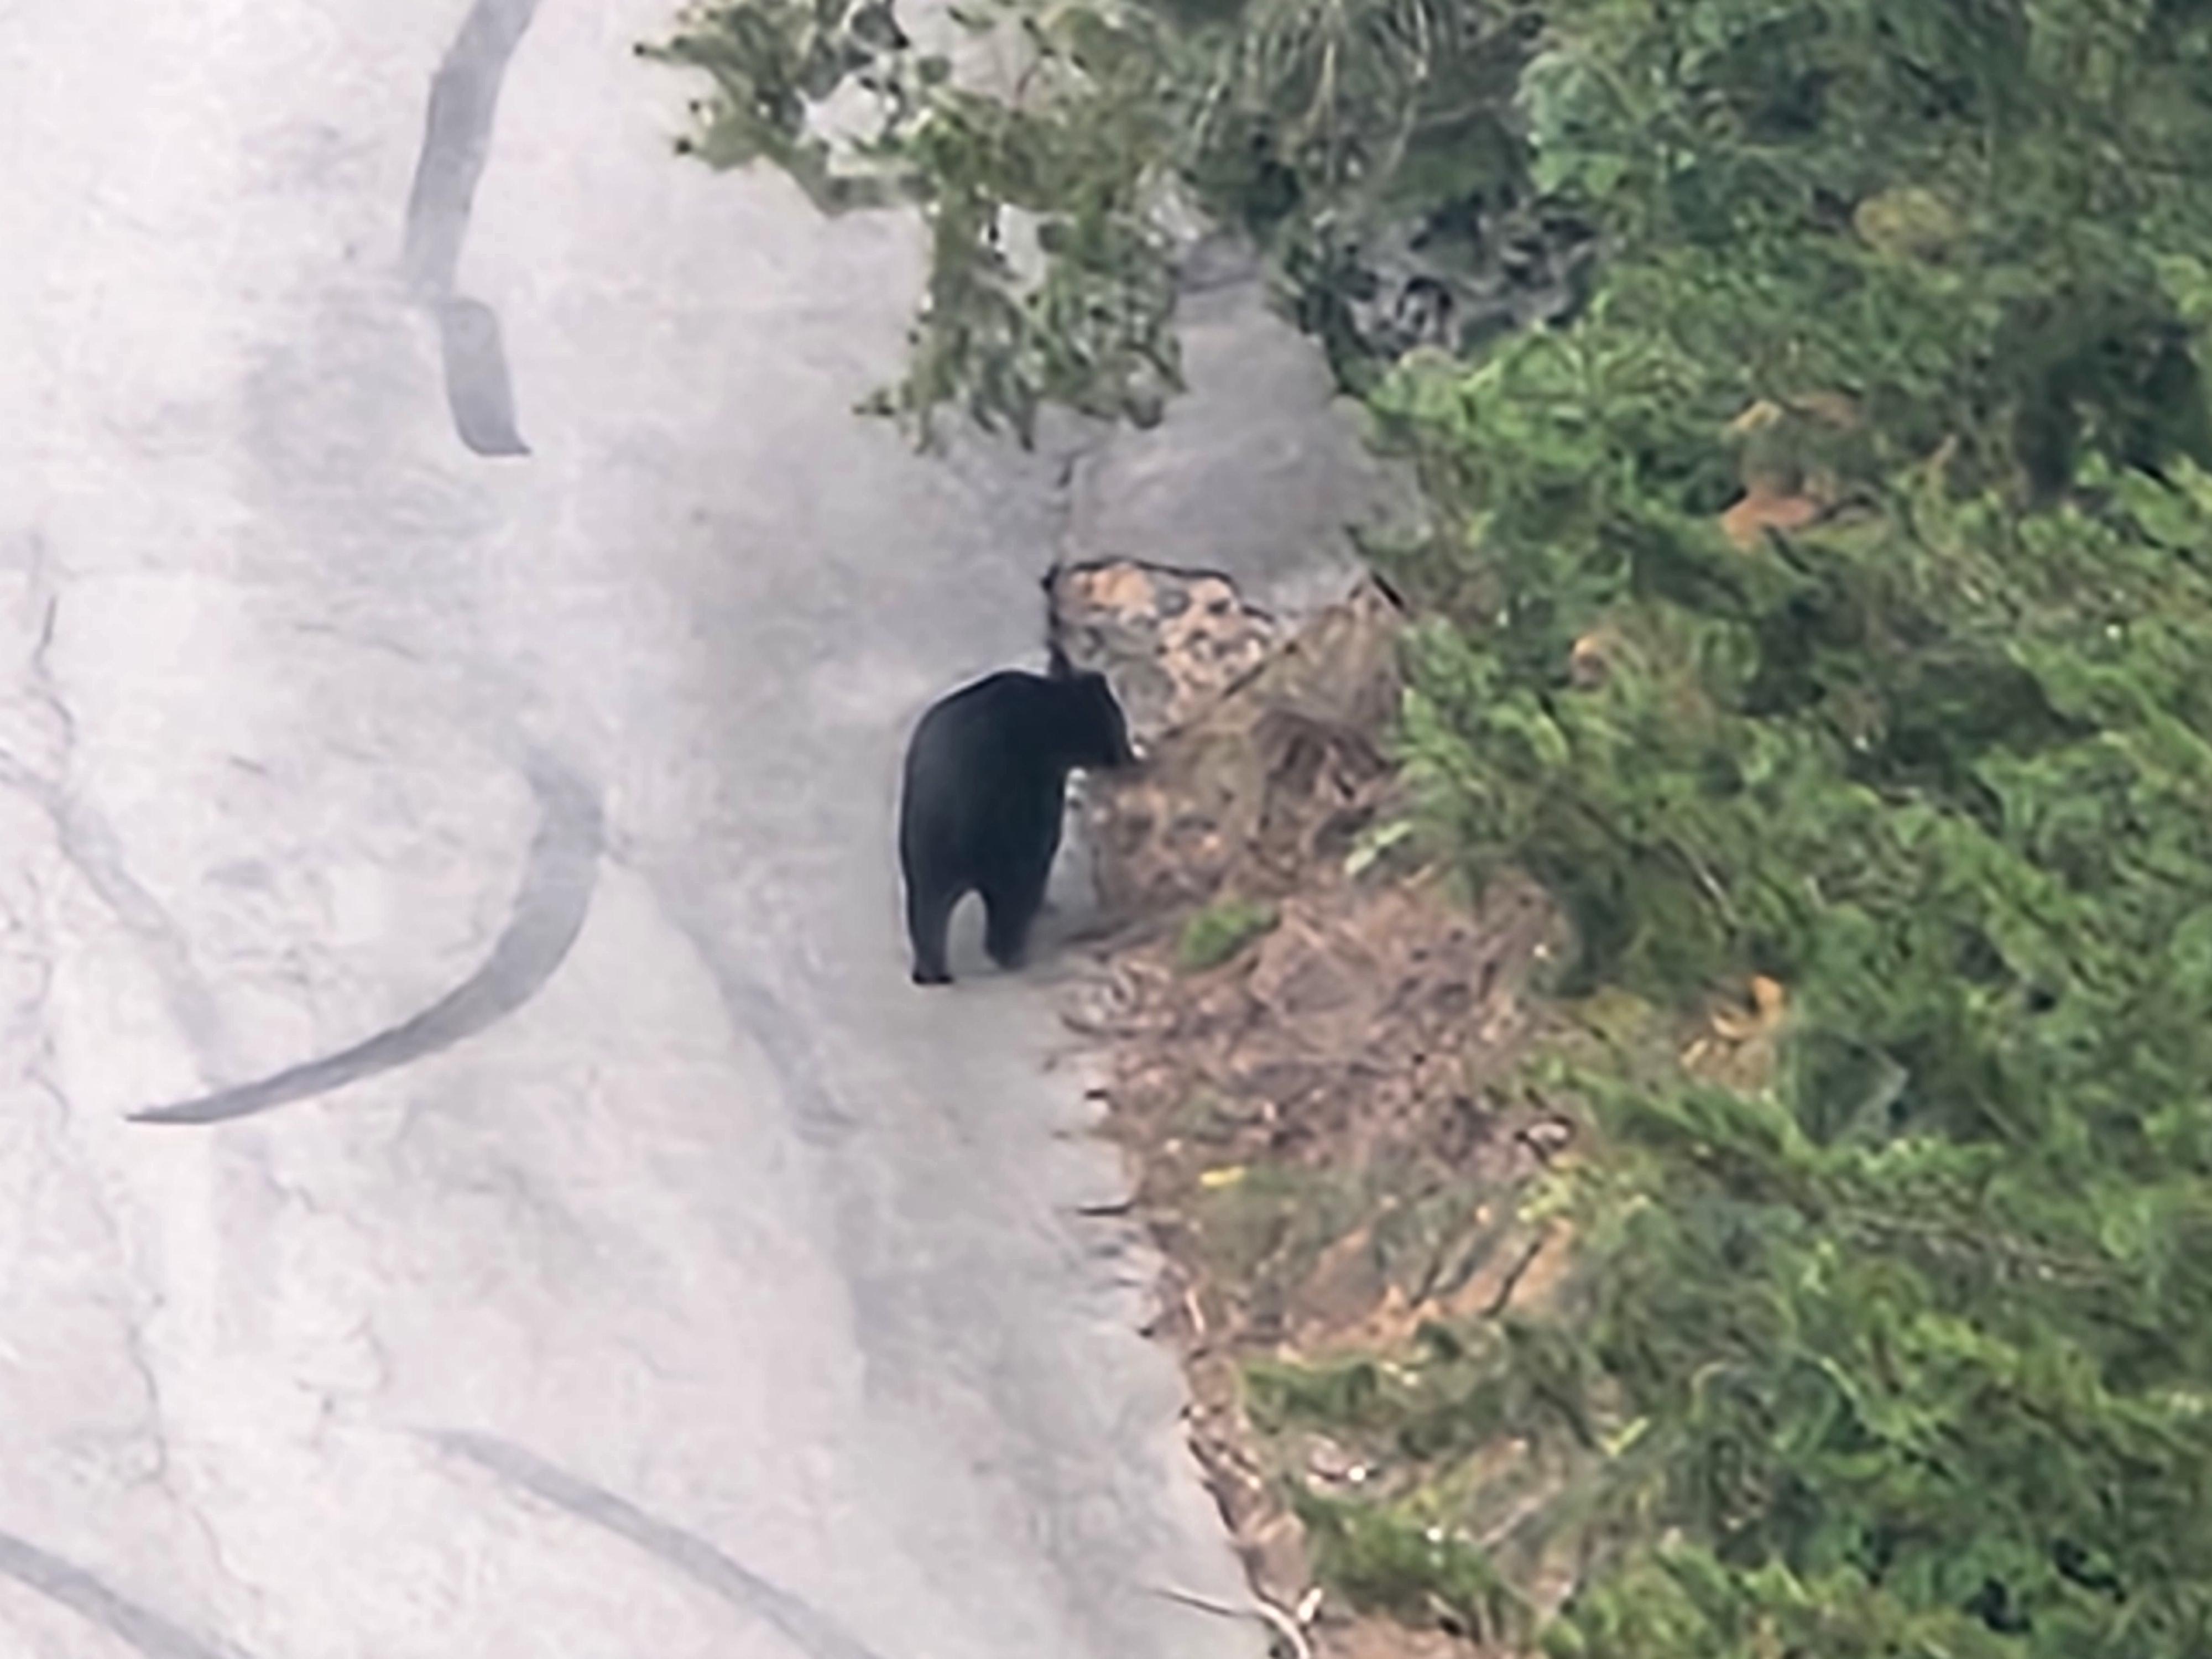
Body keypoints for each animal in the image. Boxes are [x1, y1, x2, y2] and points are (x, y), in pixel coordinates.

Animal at [898, 643, 1137, 986]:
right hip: (1002, 832)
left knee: (926, 911)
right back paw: (1013, 953)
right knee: (1012, 895)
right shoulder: (1040, 792)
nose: (1129, 758)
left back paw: (932, 971)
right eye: (1118, 725)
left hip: (923, 847)